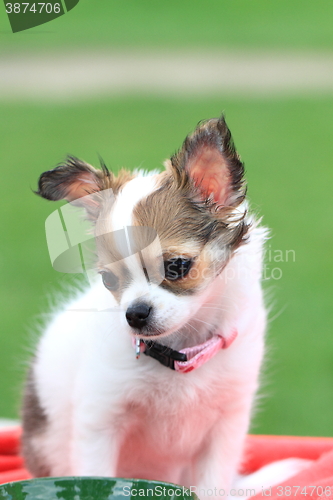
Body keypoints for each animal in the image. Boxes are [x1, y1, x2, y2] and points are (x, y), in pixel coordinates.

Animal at [22, 117, 268, 496]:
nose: (135, 314)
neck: (180, 352)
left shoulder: (225, 427)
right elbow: (97, 475)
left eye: (176, 267)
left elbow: (212, 485)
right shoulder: (99, 421)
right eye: (109, 280)